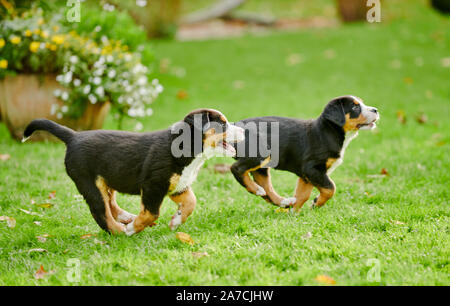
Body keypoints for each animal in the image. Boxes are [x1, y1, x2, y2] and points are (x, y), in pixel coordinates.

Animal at [22, 109, 244, 235]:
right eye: (222, 124)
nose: (243, 130)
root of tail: (73, 136)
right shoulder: (153, 185)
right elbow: (151, 213)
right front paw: (134, 228)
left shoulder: (178, 185)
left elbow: (191, 202)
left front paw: (176, 221)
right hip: (89, 182)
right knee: (101, 211)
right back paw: (121, 231)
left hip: (108, 178)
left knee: (110, 204)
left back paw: (126, 218)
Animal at [232, 95, 380, 210]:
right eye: (355, 107)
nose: (376, 110)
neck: (329, 132)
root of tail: (234, 125)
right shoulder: (312, 168)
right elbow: (330, 188)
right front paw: (317, 203)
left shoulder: (307, 175)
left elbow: (303, 195)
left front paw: (294, 213)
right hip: (260, 154)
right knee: (236, 169)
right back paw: (256, 189)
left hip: (263, 165)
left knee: (265, 186)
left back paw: (283, 202)